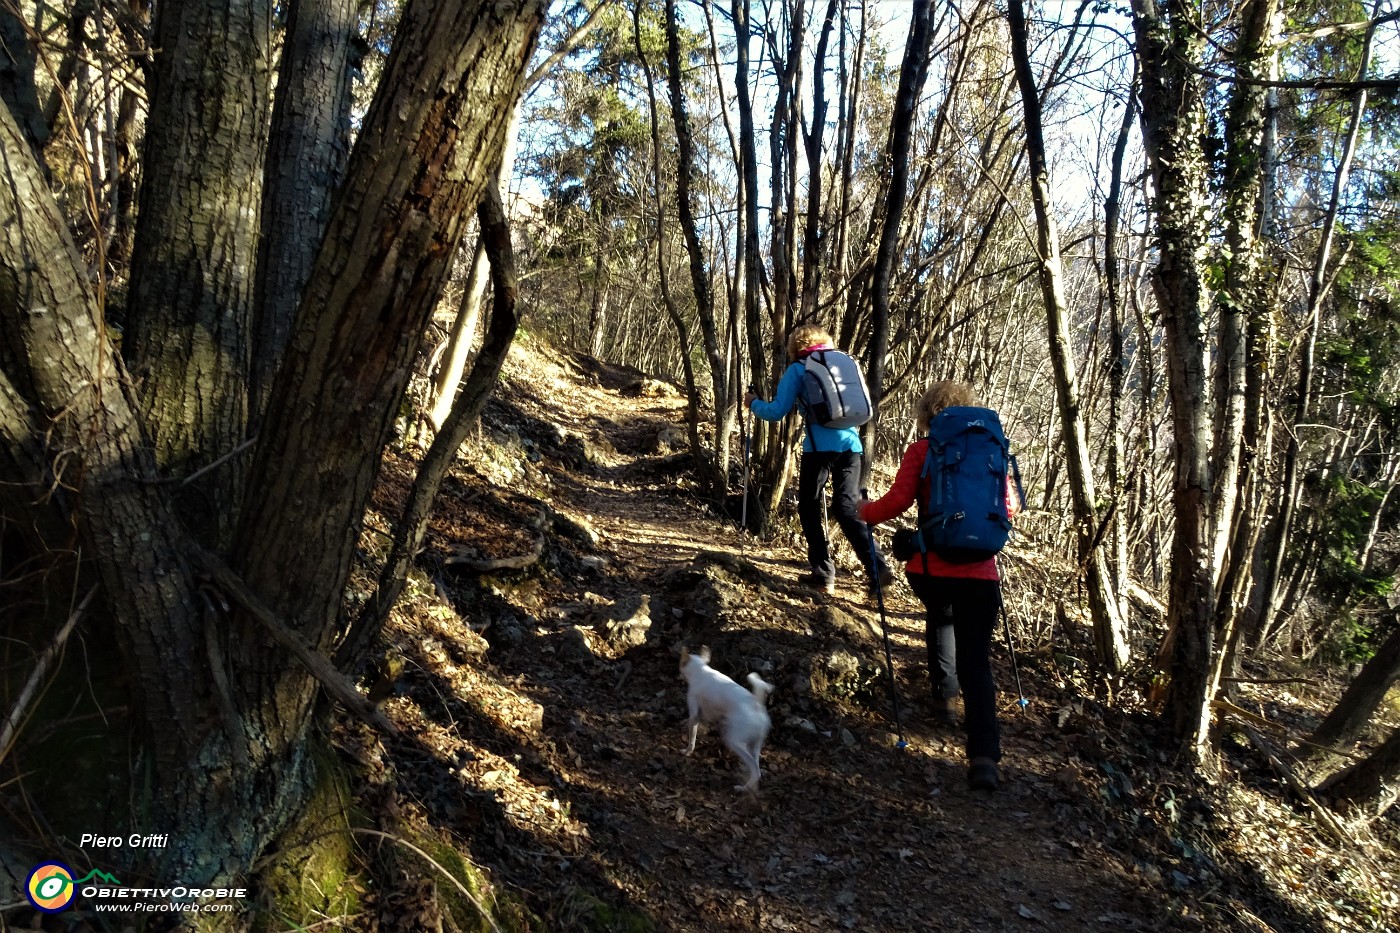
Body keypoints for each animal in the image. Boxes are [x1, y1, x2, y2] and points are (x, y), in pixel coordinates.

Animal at [680, 647, 778, 790]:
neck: (701, 670)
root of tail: (757, 705)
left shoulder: (694, 715)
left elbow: (692, 738)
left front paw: (687, 751)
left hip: (735, 741)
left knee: (755, 769)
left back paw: (743, 788)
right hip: (755, 744)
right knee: (757, 766)